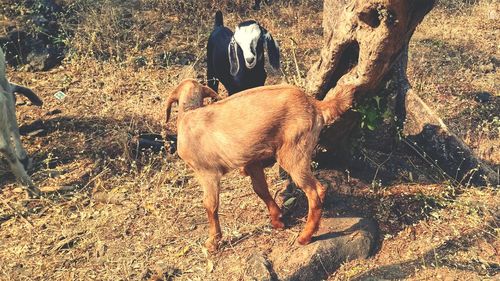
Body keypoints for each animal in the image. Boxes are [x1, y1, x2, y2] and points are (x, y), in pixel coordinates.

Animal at [166, 77, 354, 250]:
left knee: (315, 192)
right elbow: (260, 189)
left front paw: (213, 241)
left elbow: (210, 205)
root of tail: (314, 104)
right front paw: (277, 220)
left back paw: (305, 236)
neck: (189, 114)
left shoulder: (207, 173)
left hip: (292, 154)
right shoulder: (252, 162)